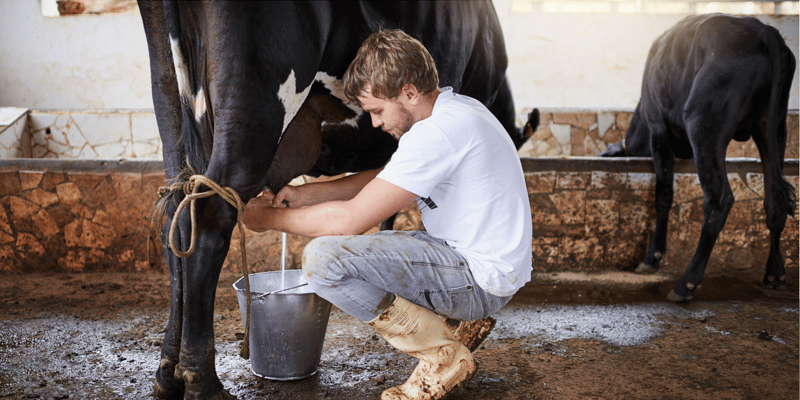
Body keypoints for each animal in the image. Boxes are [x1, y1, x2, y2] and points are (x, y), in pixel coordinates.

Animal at [604, 14, 796, 304]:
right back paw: (775, 273)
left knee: (719, 200)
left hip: (703, 124)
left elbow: (664, 195)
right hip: (773, 127)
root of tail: (762, 29)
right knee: (774, 199)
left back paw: (686, 283)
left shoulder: (658, 128)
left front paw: (653, 257)